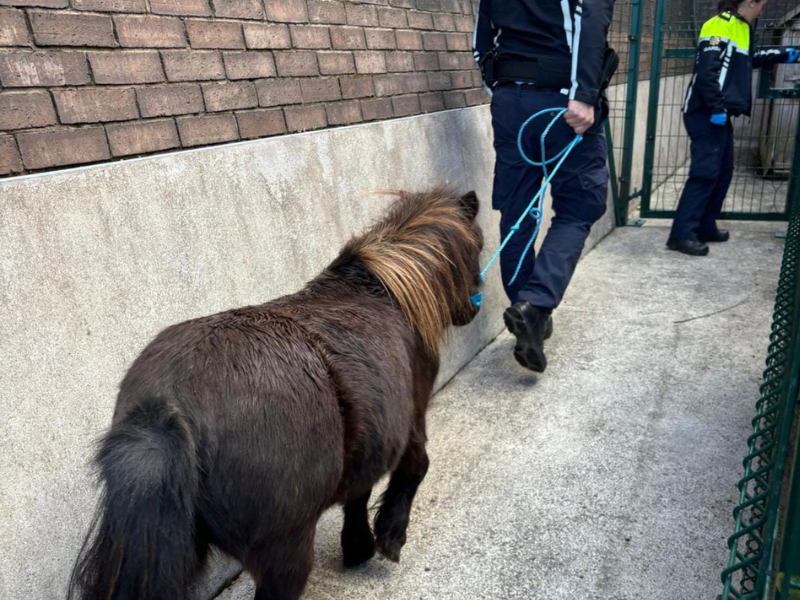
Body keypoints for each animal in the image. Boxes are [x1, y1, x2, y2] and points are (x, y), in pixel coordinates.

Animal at [68, 187, 484, 600]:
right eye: (478, 245)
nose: (474, 306)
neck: (383, 291)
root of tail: (165, 405)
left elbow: (358, 493)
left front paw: (358, 546)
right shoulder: (412, 417)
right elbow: (414, 467)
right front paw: (388, 537)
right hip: (285, 552)